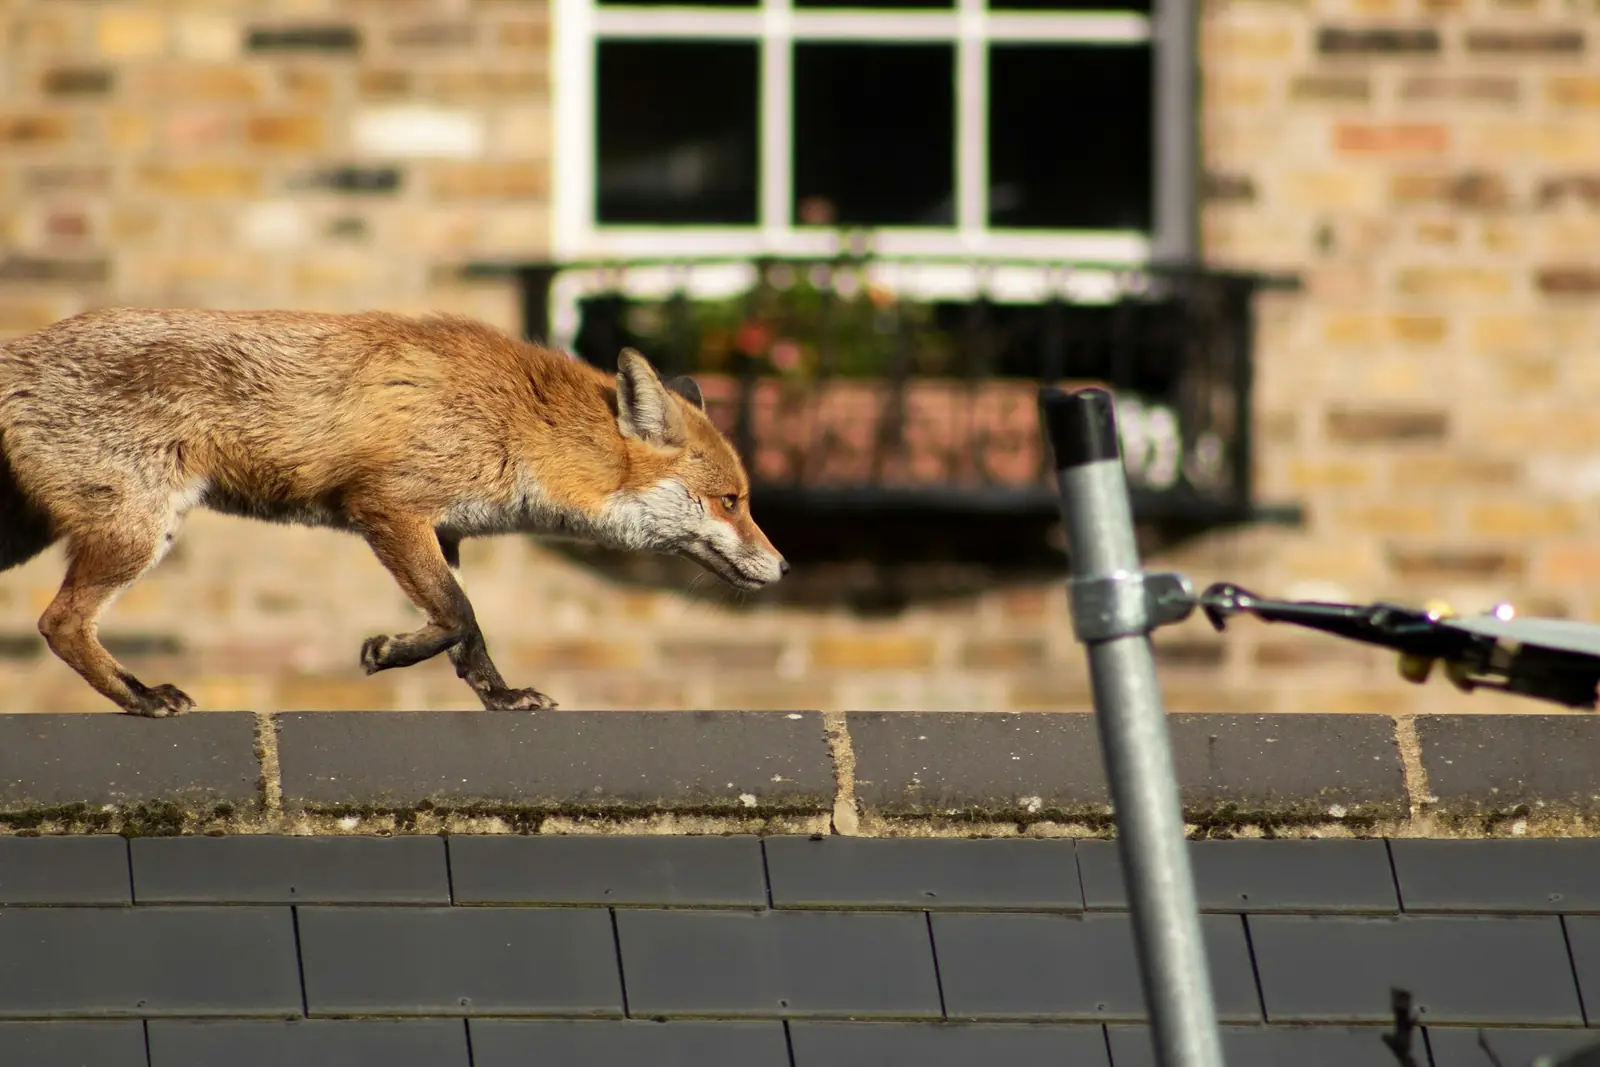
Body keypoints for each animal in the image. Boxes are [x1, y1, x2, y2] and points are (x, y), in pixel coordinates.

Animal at [0, 307, 788, 717]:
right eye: (732, 501)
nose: (782, 567)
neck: (522, 424)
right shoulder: (389, 506)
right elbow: (460, 615)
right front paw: (394, 653)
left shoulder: (446, 530)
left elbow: (464, 630)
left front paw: (495, 693)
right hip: (137, 532)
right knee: (58, 622)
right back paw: (139, 697)